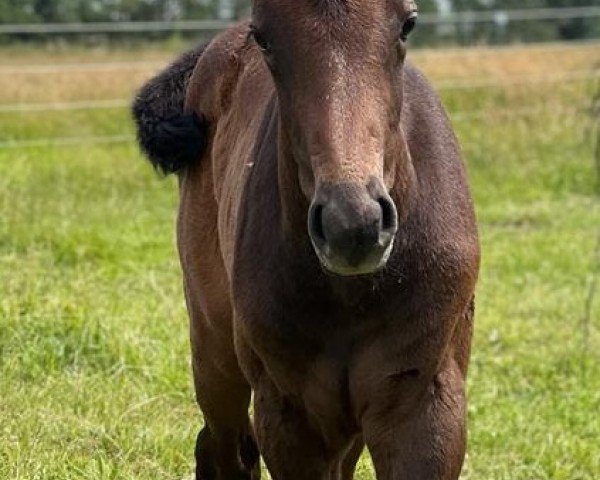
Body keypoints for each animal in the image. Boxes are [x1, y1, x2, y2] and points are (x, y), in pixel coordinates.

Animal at [134, 1, 480, 478]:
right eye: (263, 37)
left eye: (408, 23)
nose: (351, 224)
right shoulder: (291, 416)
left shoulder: (425, 408)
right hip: (214, 350)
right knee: (223, 448)